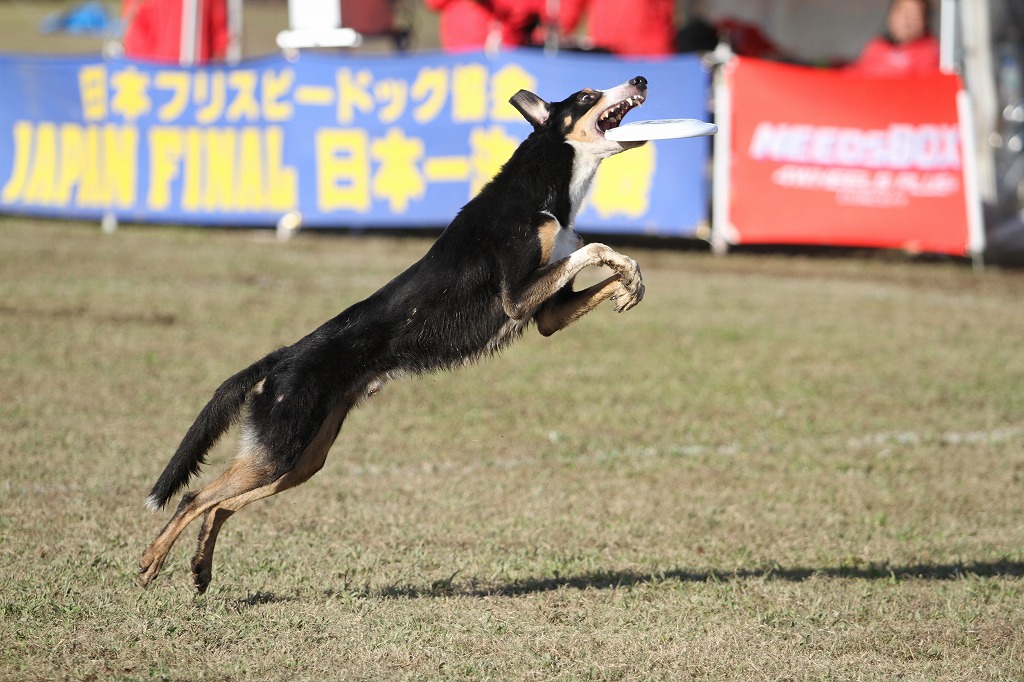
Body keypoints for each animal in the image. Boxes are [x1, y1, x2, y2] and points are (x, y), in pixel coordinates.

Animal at [138, 76, 647, 593]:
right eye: (586, 96)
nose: (641, 80)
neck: (541, 189)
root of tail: (281, 357)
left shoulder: (547, 316)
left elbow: (598, 261)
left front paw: (631, 282)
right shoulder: (516, 298)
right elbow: (595, 248)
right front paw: (625, 270)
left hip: (300, 459)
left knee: (219, 504)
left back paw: (201, 567)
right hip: (279, 450)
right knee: (196, 497)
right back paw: (151, 561)